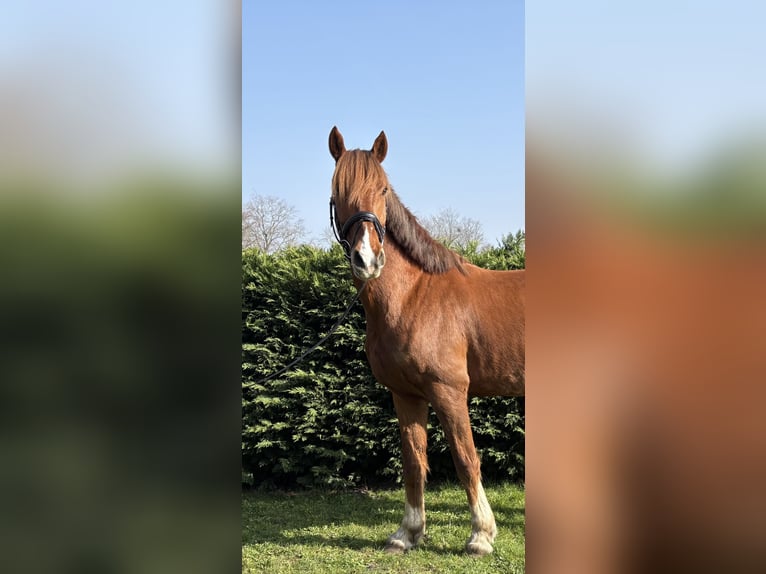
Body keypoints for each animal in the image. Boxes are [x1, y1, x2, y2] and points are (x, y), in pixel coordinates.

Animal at [328, 126, 525, 556]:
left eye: (383, 189)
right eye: (336, 192)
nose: (366, 260)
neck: (413, 295)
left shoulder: (448, 390)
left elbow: (466, 458)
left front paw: (480, 535)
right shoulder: (405, 394)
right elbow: (414, 461)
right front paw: (408, 533)